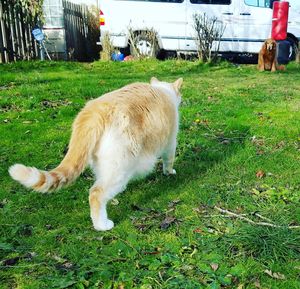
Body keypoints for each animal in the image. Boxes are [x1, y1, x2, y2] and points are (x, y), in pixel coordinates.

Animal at [8, 76, 183, 230]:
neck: (163, 90)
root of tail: (95, 110)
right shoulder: (171, 142)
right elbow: (169, 160)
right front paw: (170, 172)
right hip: (121, 166)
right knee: (96, 193)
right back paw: (102, 225)